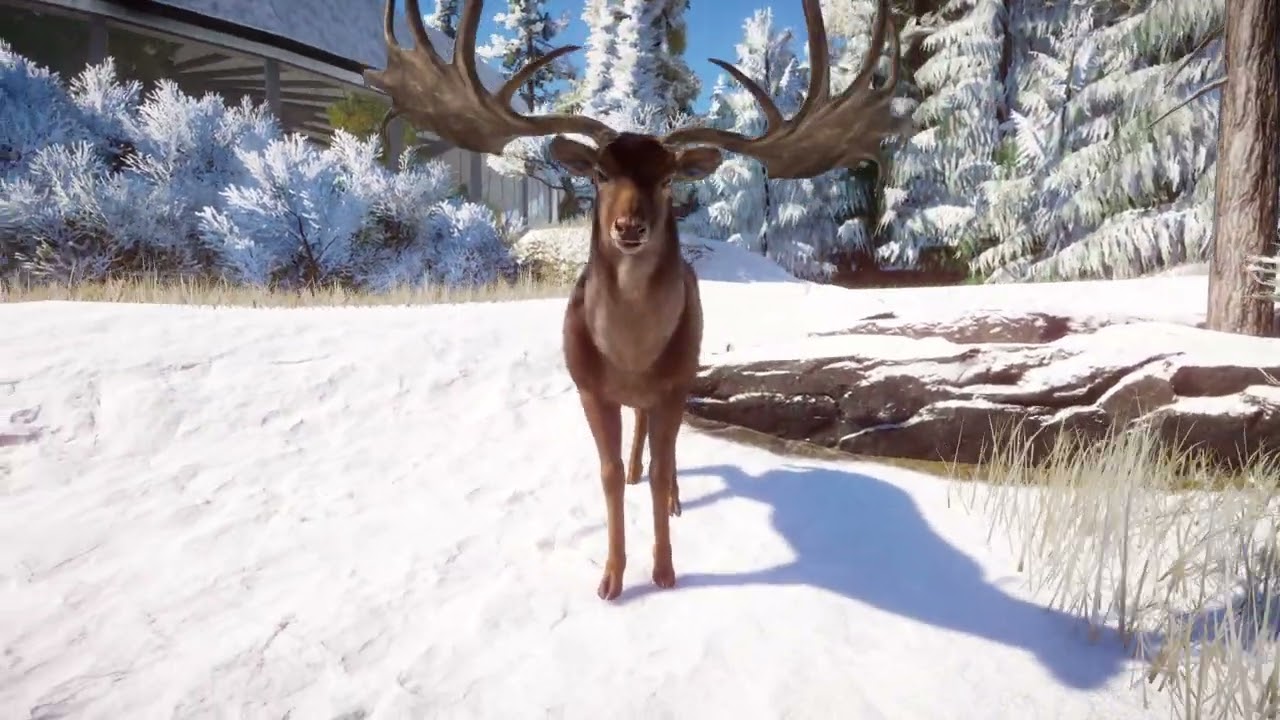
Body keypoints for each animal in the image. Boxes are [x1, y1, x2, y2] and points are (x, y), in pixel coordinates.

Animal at [364, 0, 906, 601]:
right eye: (601, 173)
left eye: (668, 178)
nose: (629, 226)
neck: (628, 352)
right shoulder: (587, 387)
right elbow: (605, 479)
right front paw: (612, 578)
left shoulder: (674, 382)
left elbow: (666, 463)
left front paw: (664, 571)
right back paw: (632, 470)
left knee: (663, 449)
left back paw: (669, 496)